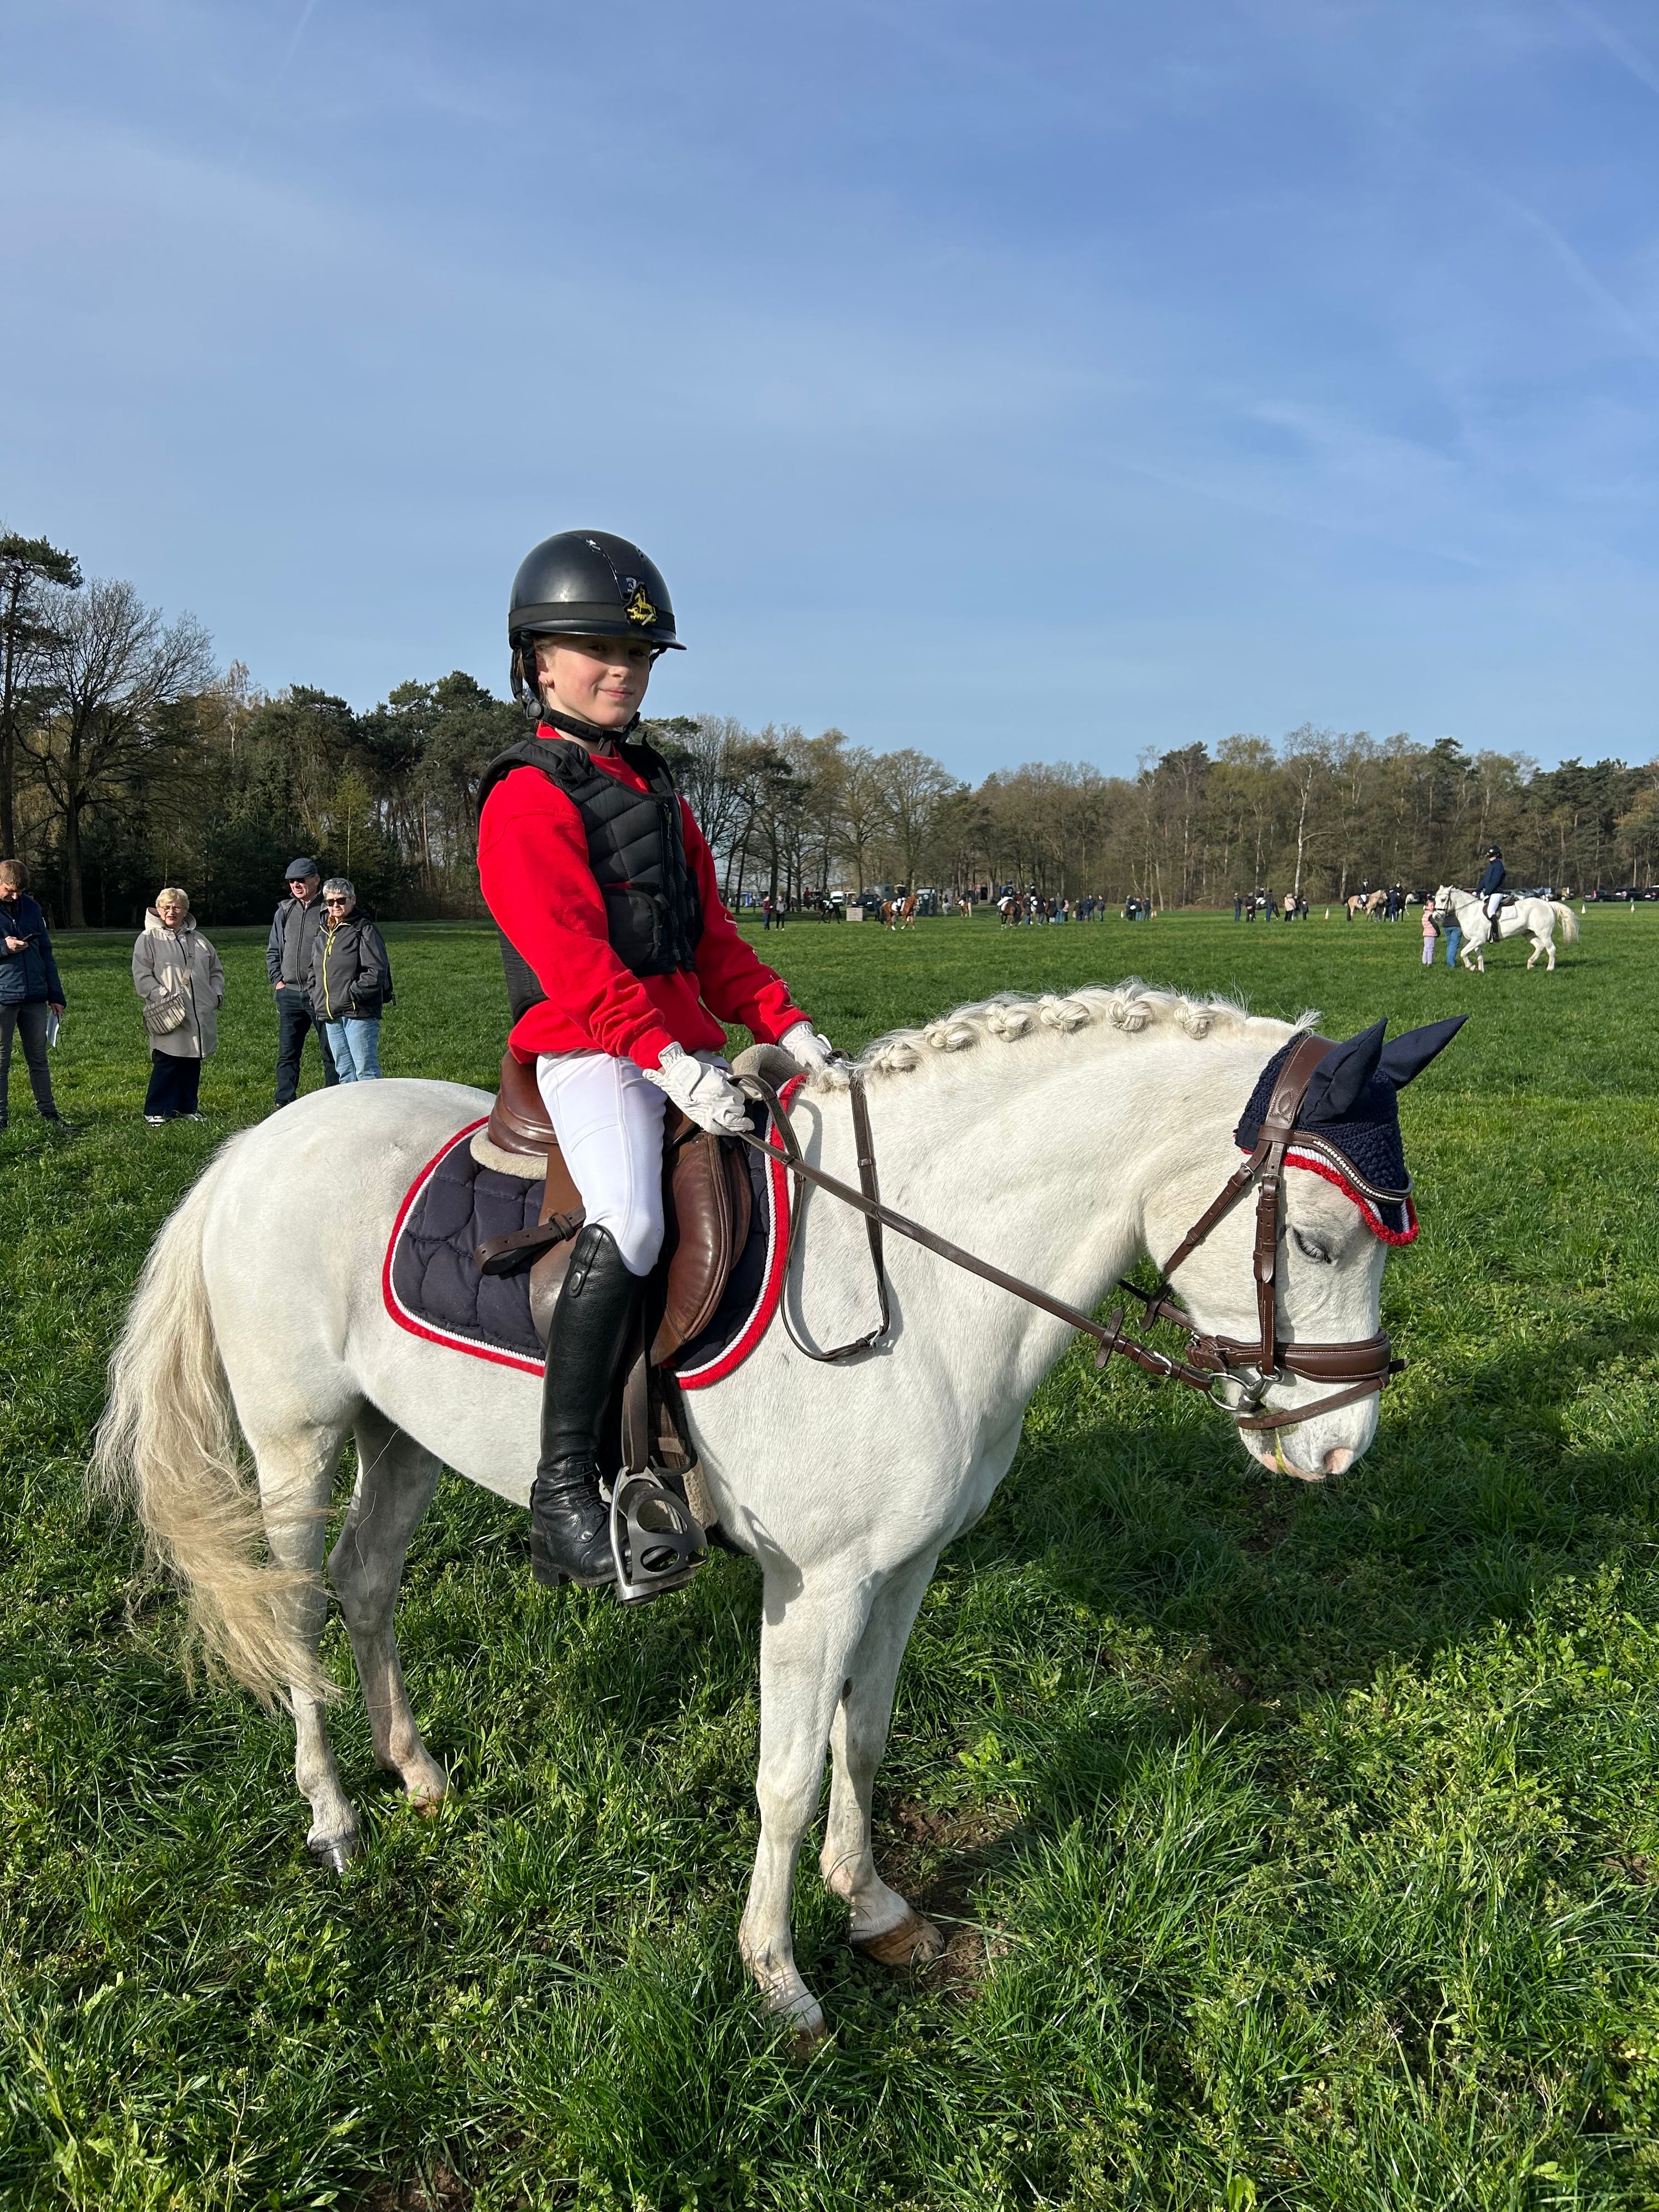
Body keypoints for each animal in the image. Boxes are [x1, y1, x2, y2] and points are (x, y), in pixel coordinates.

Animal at [94, 985, 1412, 2045]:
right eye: (1314, 1239)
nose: (1340, 1448)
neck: (912, 1272)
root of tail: (258, 1142)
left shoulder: (905, 1566)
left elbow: (862, 1739)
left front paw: (874, 1908)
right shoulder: (815, 1584)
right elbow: (784, 1775)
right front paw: (777, 1976)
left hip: (402, 1437)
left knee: (368, 1587)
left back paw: (413, 1771)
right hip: (296, 1441)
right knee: (298, 1613)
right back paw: (331, 1816)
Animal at [1432, 884, 1579, 971]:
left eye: (1444, 900)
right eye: (1435, 900)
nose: (1436, 916)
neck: (1470, 911)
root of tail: (1548, 905)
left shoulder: (1478, 940)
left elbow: (1463, 953)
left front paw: (1471, 967)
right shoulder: (1475, 941)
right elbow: (1478, 955)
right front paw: (1481, 970)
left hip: (1544, 934)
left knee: (1551, 949)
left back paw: (1550, 968)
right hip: (1528, 933)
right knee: (1539, 947)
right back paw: (1530, 964)